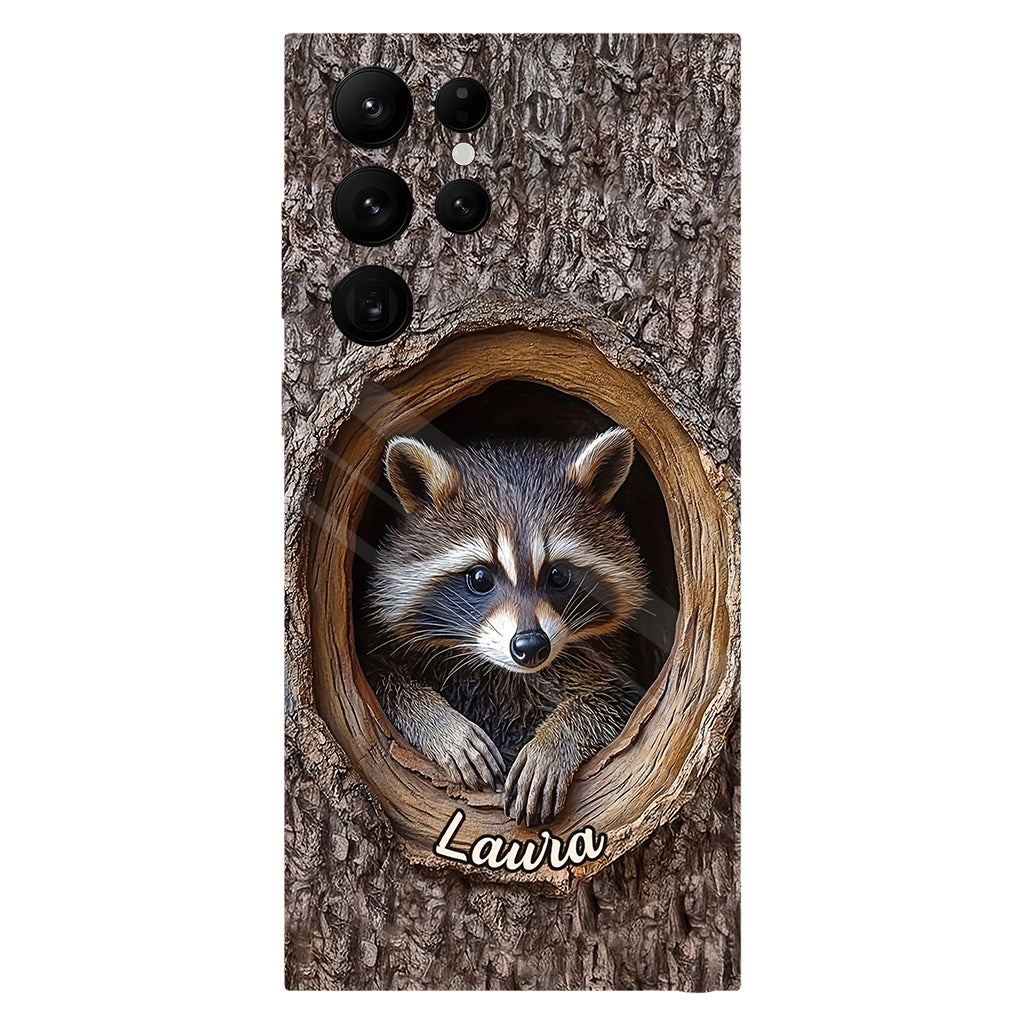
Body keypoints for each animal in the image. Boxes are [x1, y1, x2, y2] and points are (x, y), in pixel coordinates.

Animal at [363, 426, 648, 827]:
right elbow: (384, 680)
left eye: (557, 575)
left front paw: (554, 740)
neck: (505, 673)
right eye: (480, 577)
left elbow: (612, 701)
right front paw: (441, 724)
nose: (530, 646)